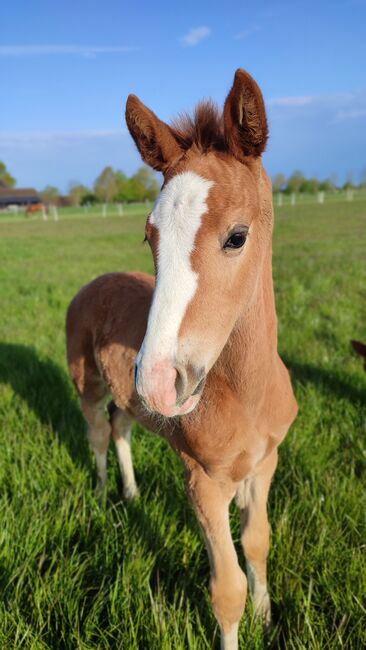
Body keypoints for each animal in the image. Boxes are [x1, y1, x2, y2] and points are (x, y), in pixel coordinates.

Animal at [67, 68, 298, 644]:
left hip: (127, 399)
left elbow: (258, 542)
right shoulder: (203, 483)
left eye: (237, 236)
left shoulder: (266, 463)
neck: (247, 393)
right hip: (88, 383)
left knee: (121, 427)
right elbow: (226, 591)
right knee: (97, 433)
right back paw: (102, 494)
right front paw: (245, 619)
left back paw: (130, 494)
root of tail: (93, 283)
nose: (156, 381)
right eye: (148, 234)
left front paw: (267, 616)